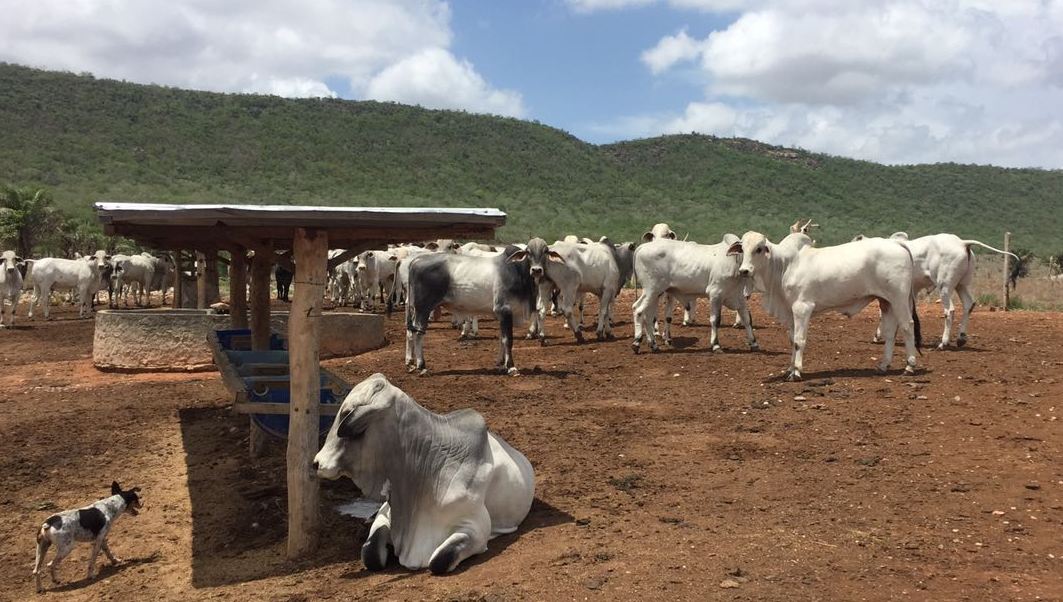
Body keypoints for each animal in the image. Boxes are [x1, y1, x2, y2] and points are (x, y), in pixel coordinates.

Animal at [310, 374, 535, 578]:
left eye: (346, 412)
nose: (316, 463)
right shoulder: (387, 512)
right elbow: (370, 554)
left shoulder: (475, 528)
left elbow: (439, 561)